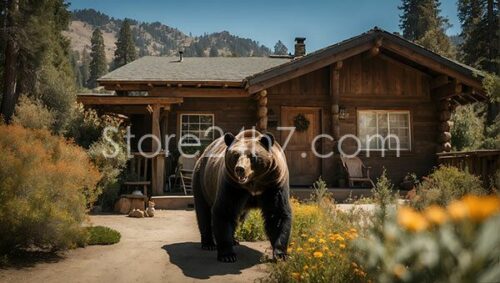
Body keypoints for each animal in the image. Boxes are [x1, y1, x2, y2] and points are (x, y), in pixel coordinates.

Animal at [192, 130, 292, 262]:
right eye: (235, 155)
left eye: (253, 156)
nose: (240, 169)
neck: (253, 183)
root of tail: (204, 152)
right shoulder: (232, 185)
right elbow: (224, 211)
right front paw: (227, 255)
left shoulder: (274, 184)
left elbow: (277, 214)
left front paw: (280, 254)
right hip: (202, 181)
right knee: (203, 211)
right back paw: (208, 244)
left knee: (239, 217)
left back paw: (234, 240)